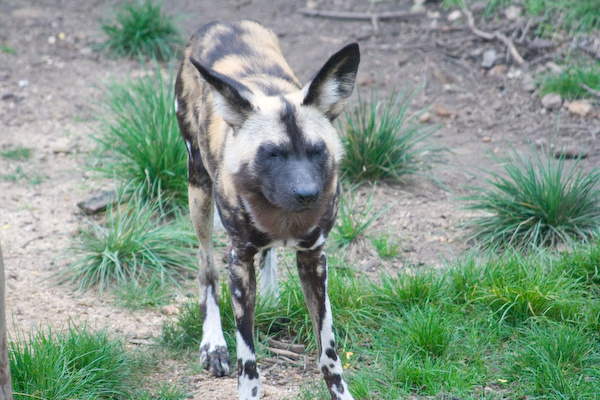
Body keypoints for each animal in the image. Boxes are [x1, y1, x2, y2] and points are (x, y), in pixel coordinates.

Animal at [173, 20, 360, 398]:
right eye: (272, 153)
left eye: (317, 150)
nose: (307, 194)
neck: (283, 217)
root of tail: (220, 23)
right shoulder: (239, 262)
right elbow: (248, 359)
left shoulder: (314, 260)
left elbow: (328, 350)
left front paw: (340, 391)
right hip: (198, 190)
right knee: (206, 269)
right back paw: (213, 344)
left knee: (267, 253)